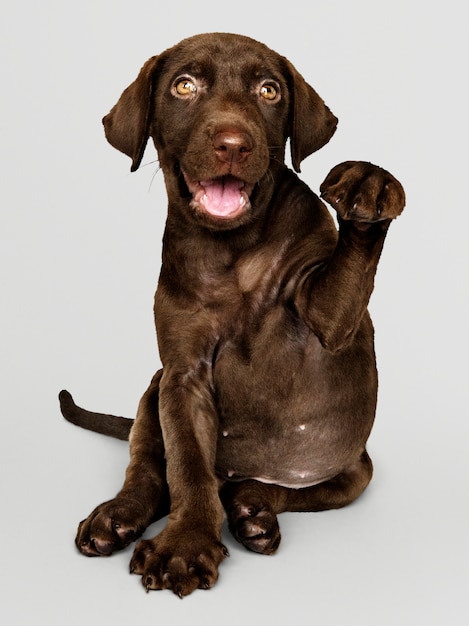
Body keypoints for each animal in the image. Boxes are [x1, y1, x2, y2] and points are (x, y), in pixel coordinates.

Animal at [57, 33, 402, 596]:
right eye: (183, 86)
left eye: (269, 90)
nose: (234, 144)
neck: (232, 252)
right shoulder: (183, 375)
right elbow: (187, 467)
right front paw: (185, 543)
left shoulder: (328, 321)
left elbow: (347, 274)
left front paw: (366, 185)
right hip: (153, 388)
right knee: (149, 468)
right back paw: (119, 517)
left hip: (354, 470)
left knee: (294, 489)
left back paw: (253, 509)